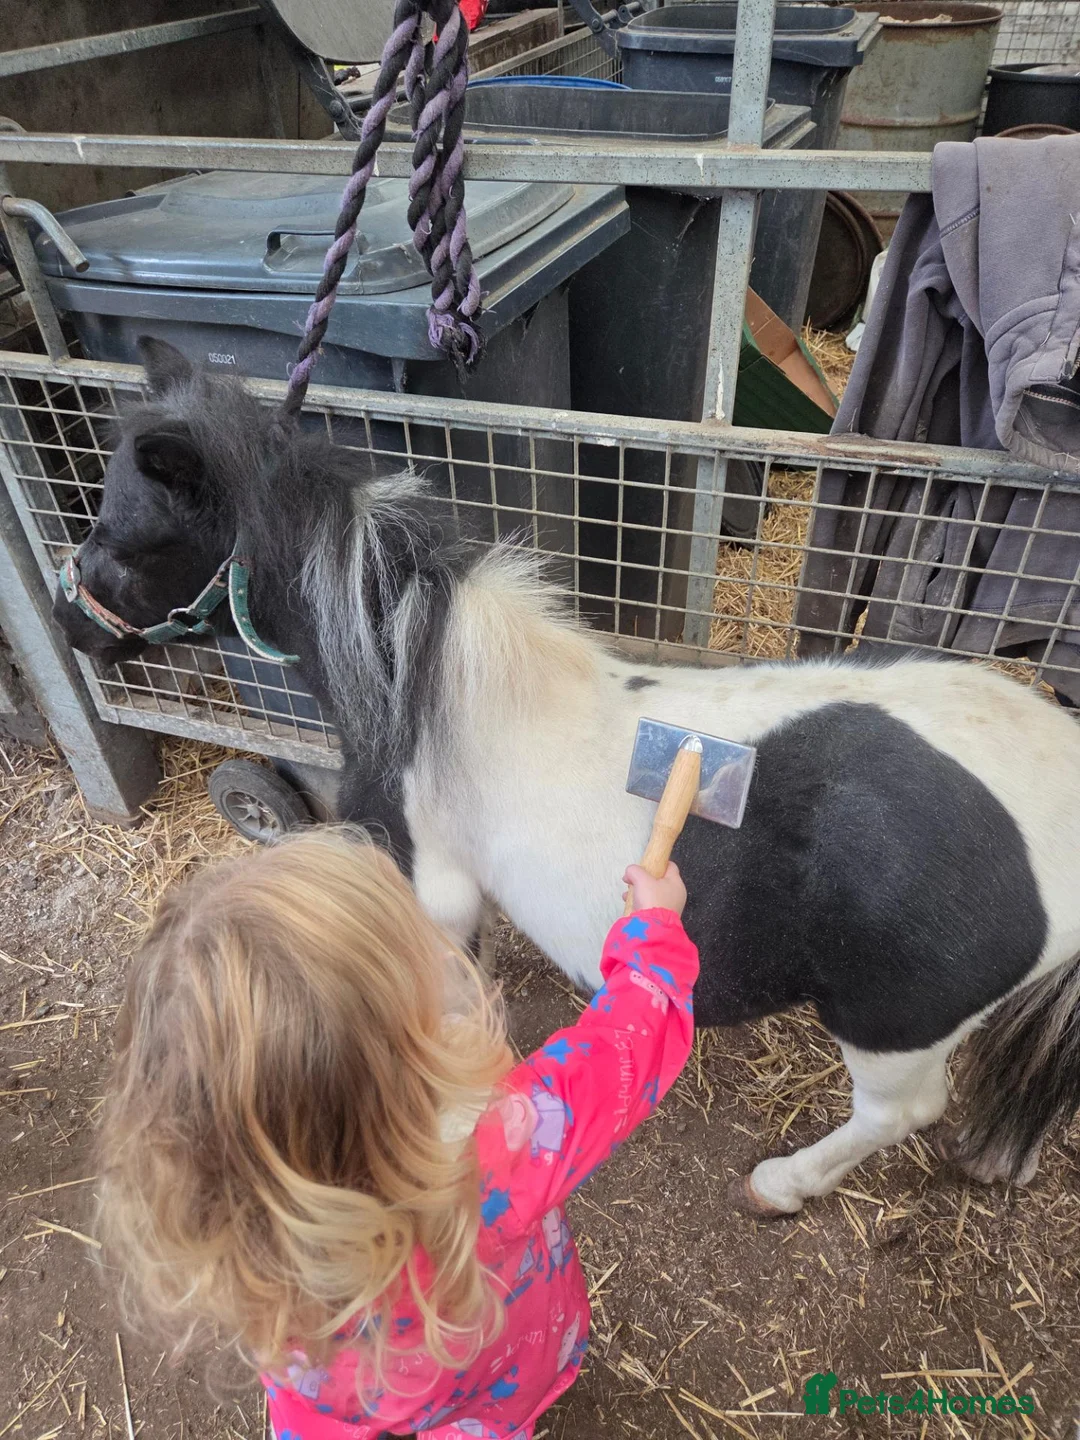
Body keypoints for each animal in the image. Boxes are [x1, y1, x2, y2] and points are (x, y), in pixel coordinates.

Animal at [55, 338, 1080, 1217]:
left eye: (129, 534)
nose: (69, 624)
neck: (427, 685)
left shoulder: (435, 890)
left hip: (892, 1032)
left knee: (899, 1112)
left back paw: (780, 1185)